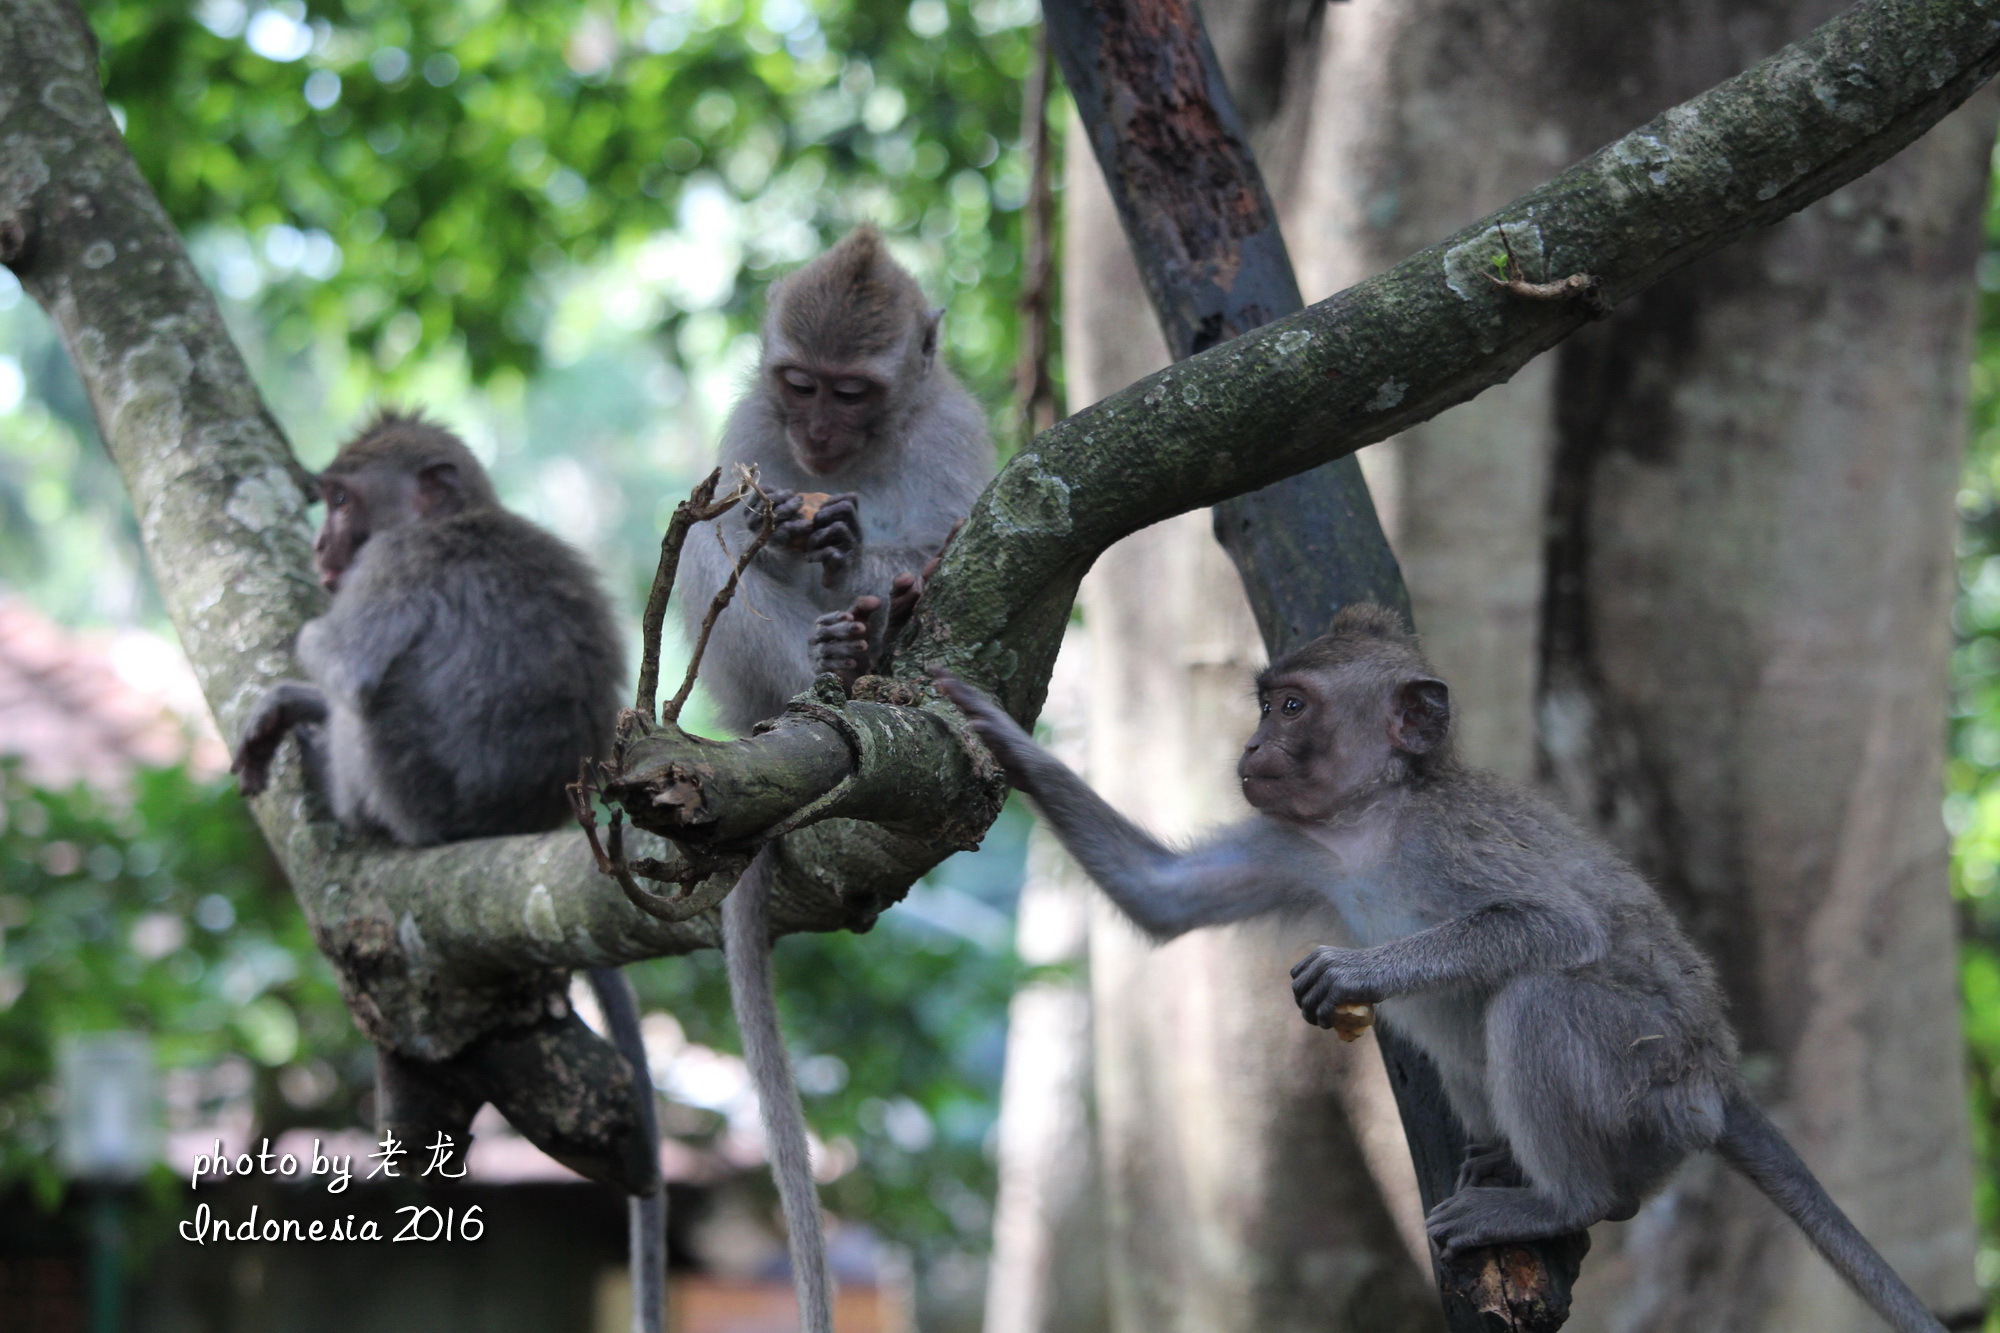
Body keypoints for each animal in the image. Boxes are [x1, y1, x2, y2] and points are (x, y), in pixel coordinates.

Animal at [231, 412, 672, 1328]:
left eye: (341, 501)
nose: (321, 544)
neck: (454, 517)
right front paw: (288, 702)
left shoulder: (393, 565)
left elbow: (339, 653)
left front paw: (304, 685)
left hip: (409, 789)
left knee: (367, 702)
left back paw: (333, 777)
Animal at [680, 233, 1000, 1328]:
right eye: (799, 384)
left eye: (852, 393)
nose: (816, 433)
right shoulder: (749, 424)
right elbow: (724, 521)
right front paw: (790, 535)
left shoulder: (952, 428)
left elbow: (950, 537)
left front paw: (863, 557)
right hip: (742, 691)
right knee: (707, 543)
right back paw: (827, 665)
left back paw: (870, 632)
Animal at [944, 608, 1944, 1328]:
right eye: (1266, 704)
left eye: (1292, 706)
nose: (1252, 749)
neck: (1369, 822)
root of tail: (1720, 1078)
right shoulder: (1299, 847)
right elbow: (1162, 895)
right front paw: (1001, 736)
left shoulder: (1447, 836)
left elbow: (1553, 923)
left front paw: (1357, 969)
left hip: (1656, 1085)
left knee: (1543, 1001)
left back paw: (1566, 1196)